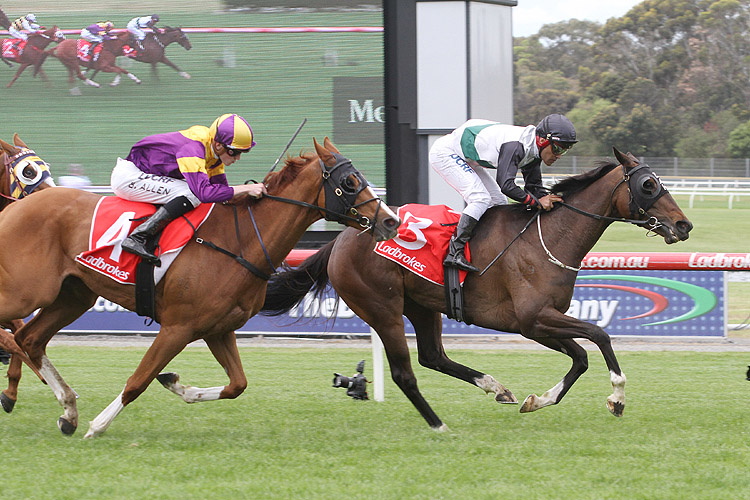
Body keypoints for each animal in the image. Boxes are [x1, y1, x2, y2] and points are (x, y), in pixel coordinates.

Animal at [0, 138, 400, 438]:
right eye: (350, 182)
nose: (390, 221)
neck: (239, 241)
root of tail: (15, 207)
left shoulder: (217, 328)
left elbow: (237, 385)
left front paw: (179, 385)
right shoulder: (178, 327)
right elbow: (138, 380)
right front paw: (97, 426)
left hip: (73, 295)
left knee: (30, 339)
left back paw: (68, 409)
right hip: (25, 292)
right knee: (18, 335)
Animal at [262, 148, 696, 430]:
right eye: (648, 184)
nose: (684, 224)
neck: (550, 236)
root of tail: (341, 239)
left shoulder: (538, 323)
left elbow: (580, 357)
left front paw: (537, 401)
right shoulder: (534, 319)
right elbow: (600, 336)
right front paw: (617, 398)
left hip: (423, 304)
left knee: (433, 357)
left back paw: (496, 387)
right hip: (381, 307)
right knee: (407, 370)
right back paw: (441, 421)